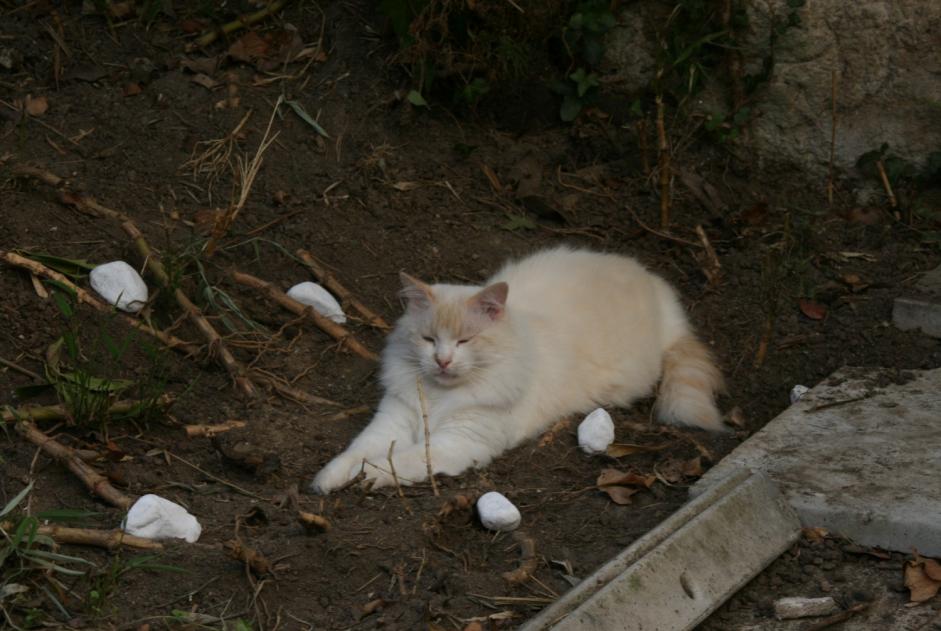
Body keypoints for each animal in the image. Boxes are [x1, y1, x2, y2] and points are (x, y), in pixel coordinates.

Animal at [312, 244, 724, 496]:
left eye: (465, 341)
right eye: (429, 339)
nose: (442, 361)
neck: (440, 396)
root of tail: (656, 286)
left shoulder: (457, 442)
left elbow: (399, 461)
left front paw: (367, 477)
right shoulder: (393, 421)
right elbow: (355, 452)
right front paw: (327, 480)